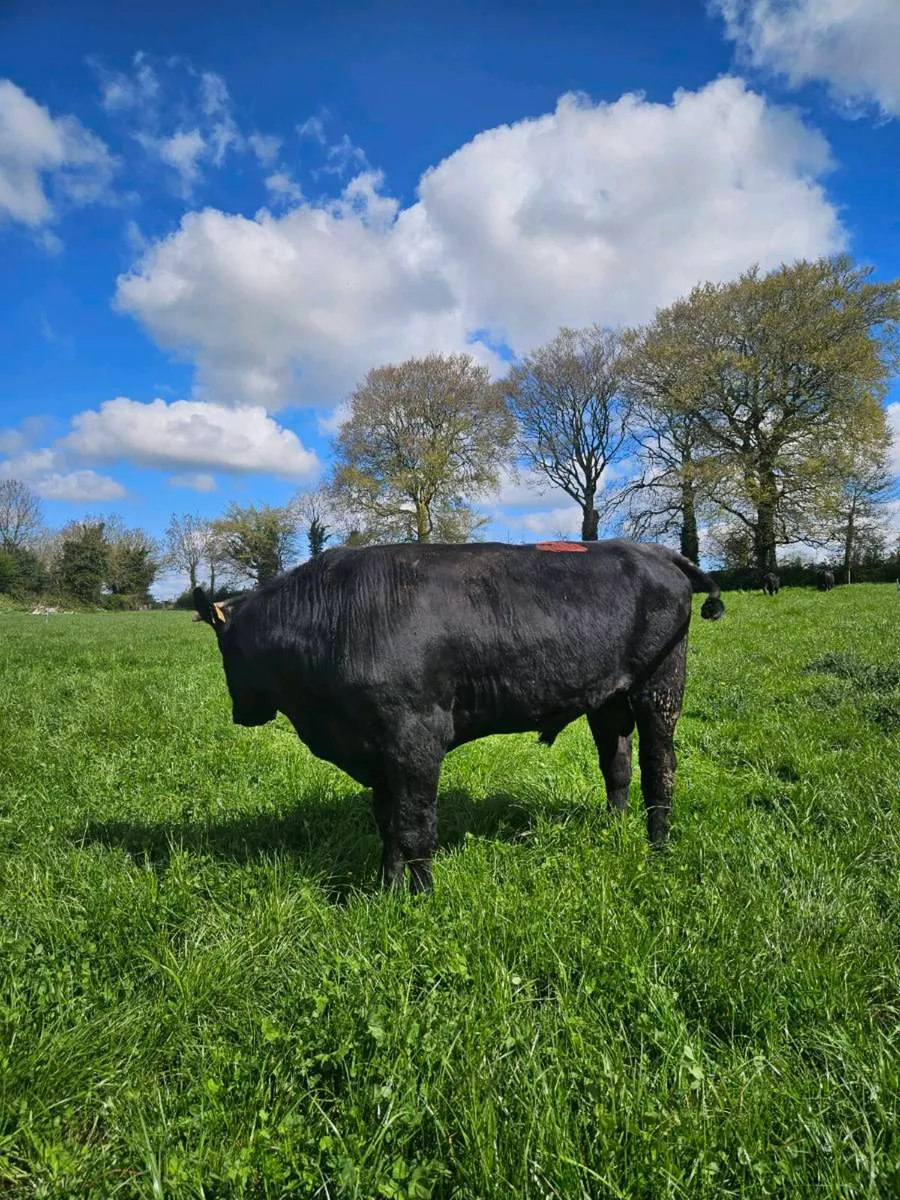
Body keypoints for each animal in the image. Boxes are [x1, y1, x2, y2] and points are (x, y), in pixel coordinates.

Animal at [193, 539, 724, 893]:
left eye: (224, 648)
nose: (241, 714)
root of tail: (652, 550)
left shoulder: (416, 737)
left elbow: (415, 825)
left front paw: (422, 895)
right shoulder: (380, 752)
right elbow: (388, 823)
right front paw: (386, 890)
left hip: (660, 691)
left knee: (660, 769)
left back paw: (658, 846)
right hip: (609, 700)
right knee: (617, 765)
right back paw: (615, 830)